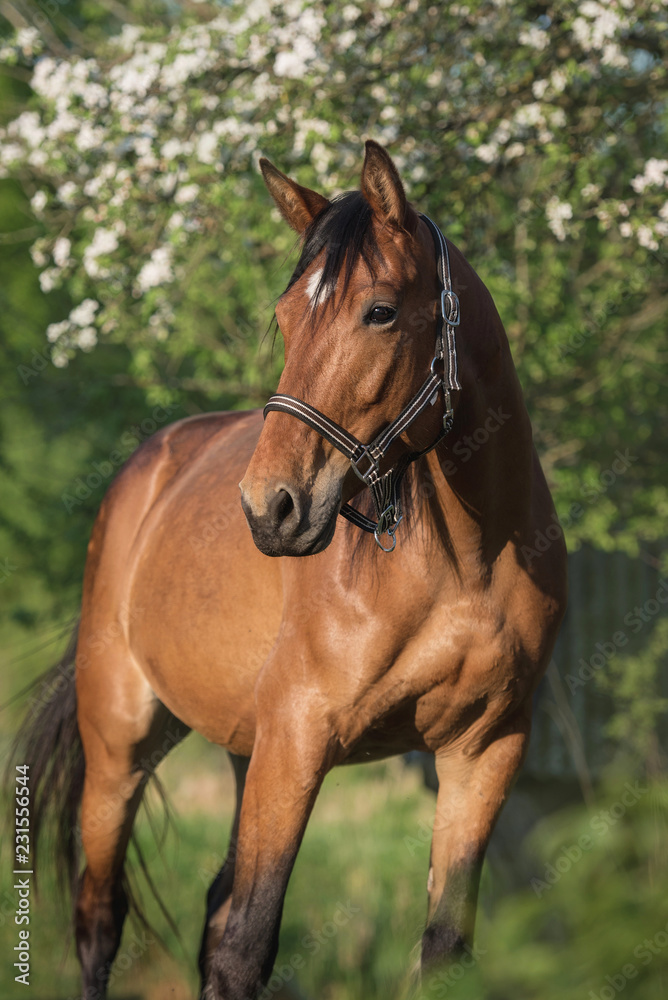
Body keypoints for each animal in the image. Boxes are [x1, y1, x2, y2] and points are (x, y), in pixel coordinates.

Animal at [17, 140, 567, 1000]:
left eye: (380, 311)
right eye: (283, 317)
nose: (269, 507)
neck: (468, 565)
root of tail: (147, 469)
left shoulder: (485, 751)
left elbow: (443, 948)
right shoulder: (300, 739)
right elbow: (246, 944)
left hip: (243, 749)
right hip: (119, 748)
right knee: (101, 922)